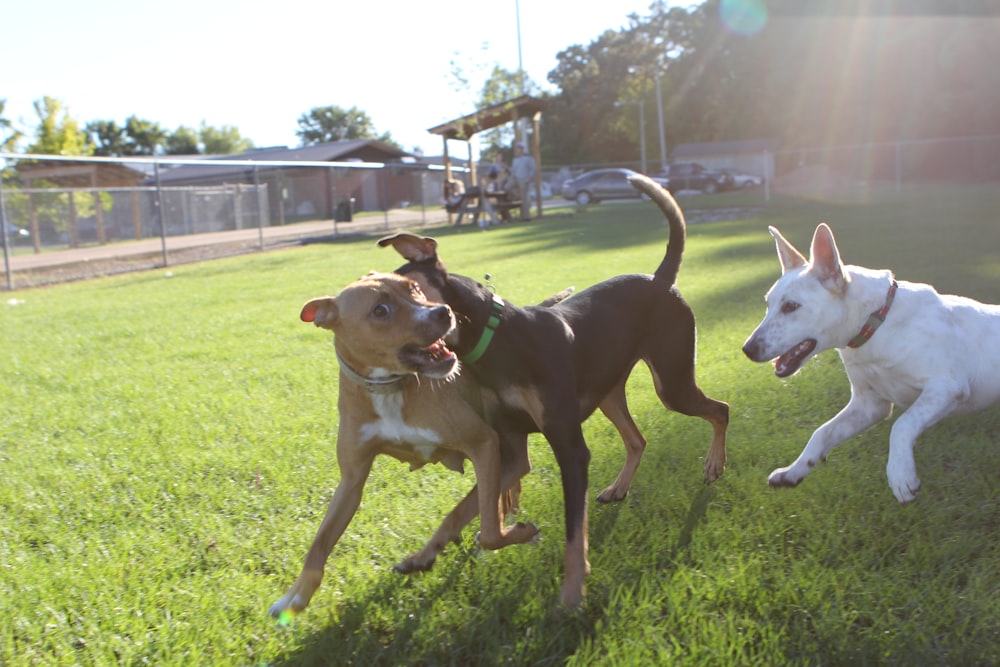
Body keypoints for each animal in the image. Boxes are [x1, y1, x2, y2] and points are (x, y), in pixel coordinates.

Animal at [268, 272, 540, 620]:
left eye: (414, 288)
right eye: (380, 310)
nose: (443, 312)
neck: (390, 389)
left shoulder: (483, 443)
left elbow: (489, 528)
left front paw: (516, 534)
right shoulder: (351, 481)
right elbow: (318, 545)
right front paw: (295, 599)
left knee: (490, 496)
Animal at [380, 175, 728, 608]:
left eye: (409, 289)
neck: (495, 339)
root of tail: (661, 279)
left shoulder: (570, 450)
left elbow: (572, 529)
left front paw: (572, 591)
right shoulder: (511, 449)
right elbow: (466, 513)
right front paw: (423, 556)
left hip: (672, 383)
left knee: (721, 410)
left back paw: (714, 464)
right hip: (610, 393)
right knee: (638, 440)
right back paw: (619, 488)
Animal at [744, 222, 1000, 504]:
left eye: (791, 306)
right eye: (768, 304)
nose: (747, 349)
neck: (876, 323)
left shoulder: (946, 388)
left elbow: (902, 425)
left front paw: (900, 474)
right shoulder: (869, 405)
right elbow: (822, 432)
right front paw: (794, 470)